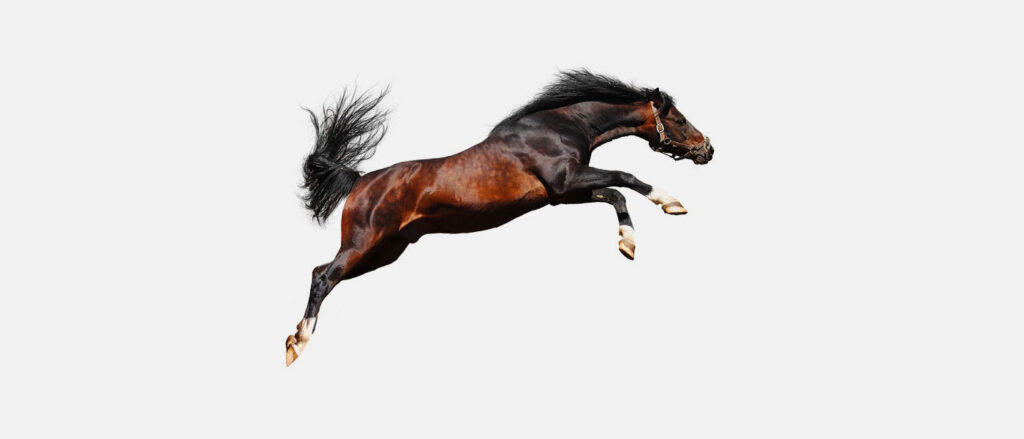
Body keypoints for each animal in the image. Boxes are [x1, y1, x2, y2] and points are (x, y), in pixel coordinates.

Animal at [285, 70, 713, 365]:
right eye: (679, 120)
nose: (708, 149)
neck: (559, 127)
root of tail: (360, 180)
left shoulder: (563, 194)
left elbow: (616, 194)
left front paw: (628, 243)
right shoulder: (566, 179)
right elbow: (626, 178)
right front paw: (672, 203)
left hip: (385, 250)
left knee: (320, 272)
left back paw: (295, 339)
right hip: (364, 242)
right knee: (324, 278)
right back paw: (298, 344)